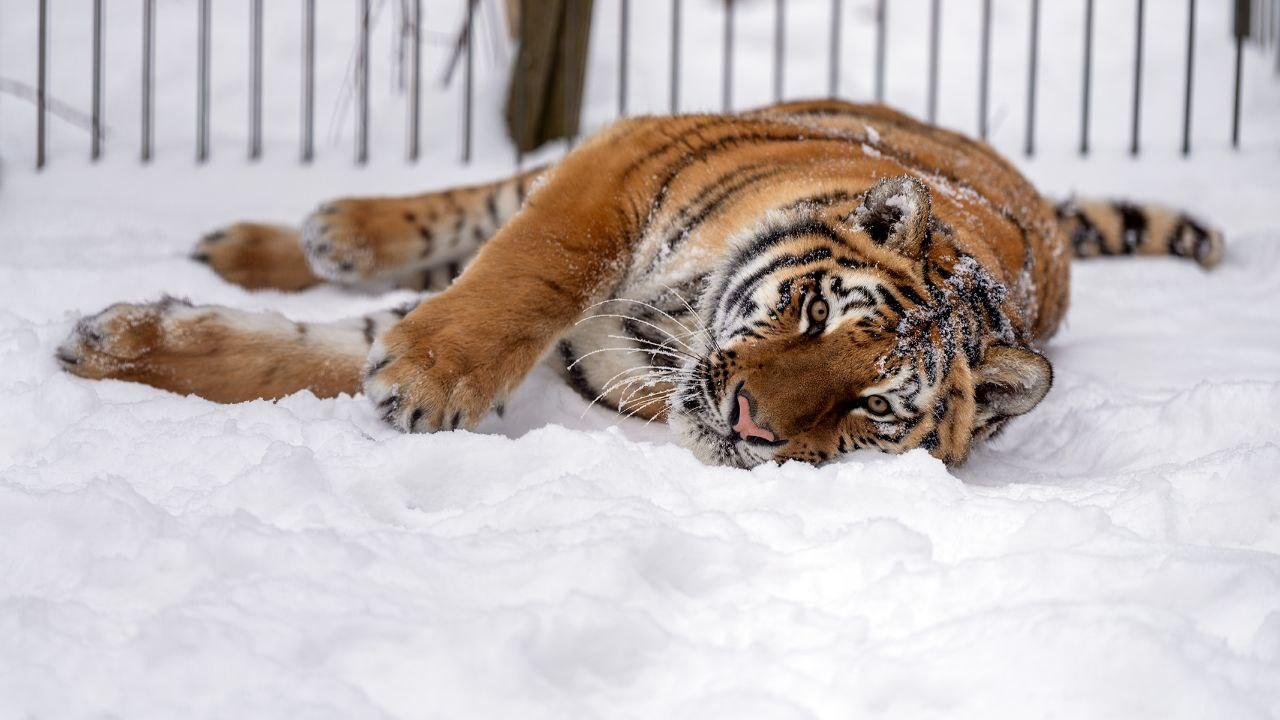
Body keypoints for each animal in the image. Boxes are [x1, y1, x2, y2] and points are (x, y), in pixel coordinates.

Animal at [55, 101, 1223, 468]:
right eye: (813, 313)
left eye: (869, 410)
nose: (750, 421)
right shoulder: (617, 169)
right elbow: (526, 268)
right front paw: (430, 374)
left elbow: (310, 354)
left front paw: (115, 343)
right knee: (470, 210)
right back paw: (317, 231)